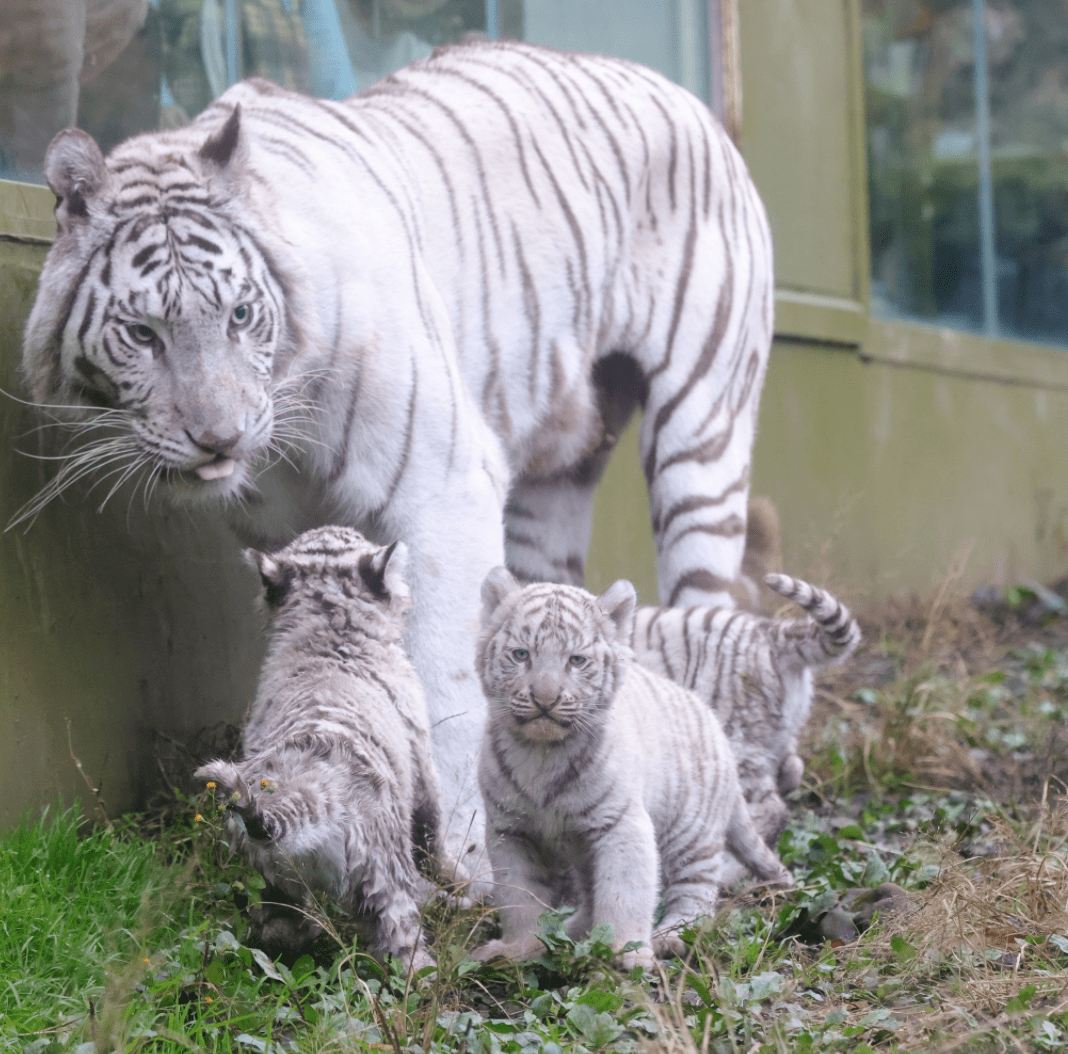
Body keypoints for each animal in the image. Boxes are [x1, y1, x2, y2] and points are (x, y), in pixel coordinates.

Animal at [20, 41, 773, 879]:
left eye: (241, 315)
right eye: (143, 334)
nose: (220, 439)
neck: (285, 428)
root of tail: (673, 88)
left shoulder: (446, 493)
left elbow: (449, 684)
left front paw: (469, 856)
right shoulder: (286, 540)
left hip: (704, 427)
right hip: (557, 475)